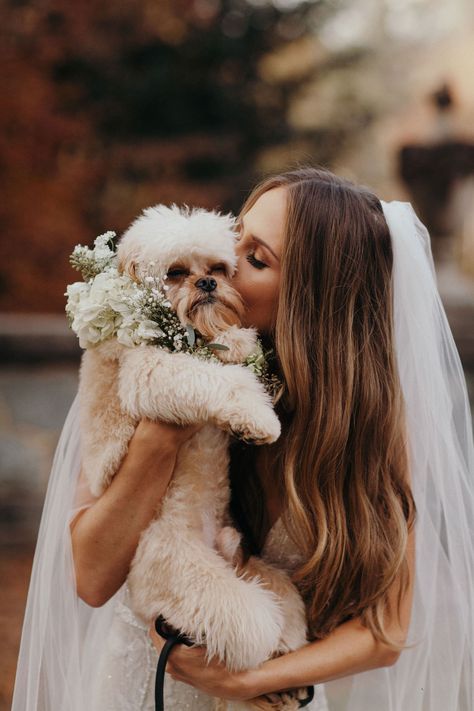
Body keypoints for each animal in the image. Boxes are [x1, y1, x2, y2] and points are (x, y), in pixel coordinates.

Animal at [79, 203, 310, 708]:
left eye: (218, 268)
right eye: (175, 273)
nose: (206, 284)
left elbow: (229, 353)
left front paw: (241, 344)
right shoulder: (149, 371)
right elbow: (214, 378)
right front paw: (258, 419)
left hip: (271, 582)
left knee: (285, 621)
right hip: (201, 584)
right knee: (251, 629)